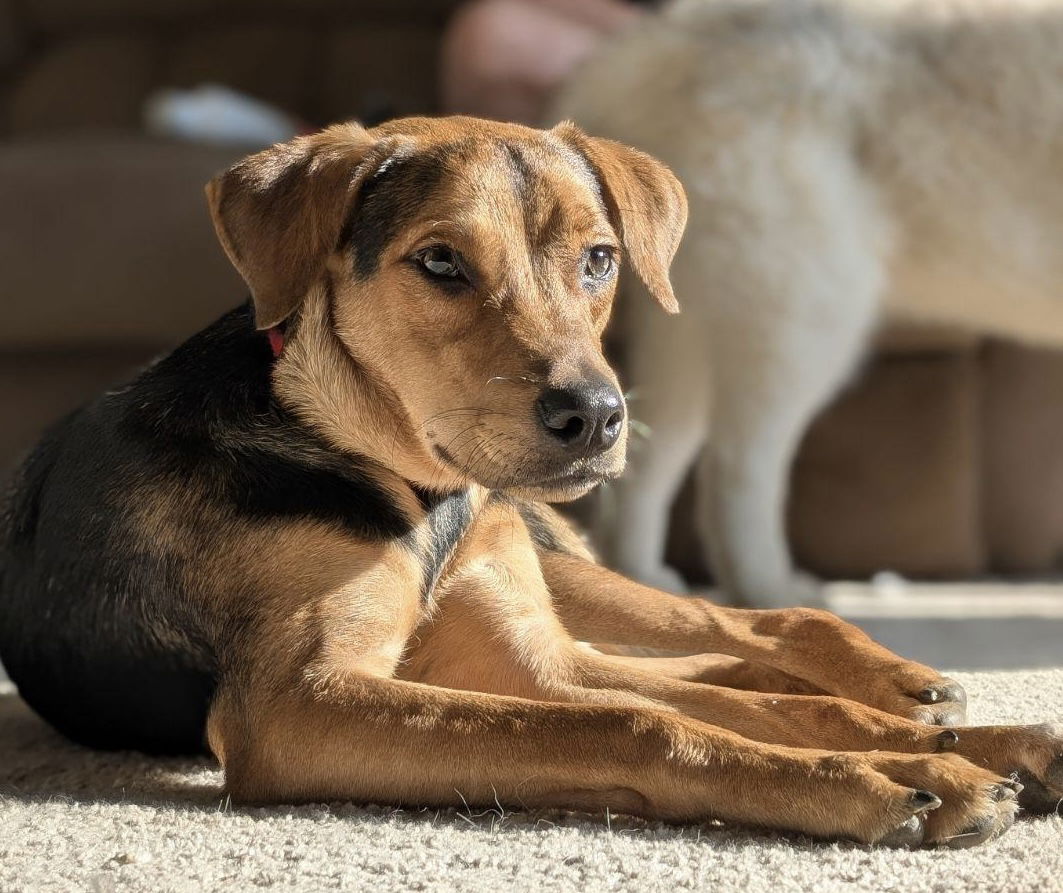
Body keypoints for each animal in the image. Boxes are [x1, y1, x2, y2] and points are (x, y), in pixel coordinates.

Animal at [0, 115, 1058, 846]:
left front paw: (931, 756)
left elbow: (737, 707)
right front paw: (879, 780)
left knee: (744, 628)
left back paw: (935, 702)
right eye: (438, 261)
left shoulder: (517, 654)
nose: (595, 415)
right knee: (700, 671)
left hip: (555, 565)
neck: (412, 487)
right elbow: (642, 725)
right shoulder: (294, 702)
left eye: (599, 259)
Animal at [552, 0, 1063, 608]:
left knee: (648, 452)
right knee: (736, 466)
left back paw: (643, 583)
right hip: (803, 308)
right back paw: (769, 589)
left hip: (694, 324)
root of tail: (661, 44)